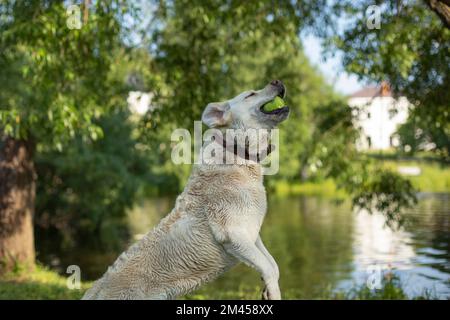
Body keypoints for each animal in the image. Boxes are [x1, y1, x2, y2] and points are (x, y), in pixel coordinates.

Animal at [82, 80, 290, 300]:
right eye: (250, 94)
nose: (277, 81)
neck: (236, 152)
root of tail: (93, 291)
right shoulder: (233, 234)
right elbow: (268, 268)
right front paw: (273, 292)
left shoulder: (252, 234)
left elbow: (273, 265)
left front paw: (267, 290)